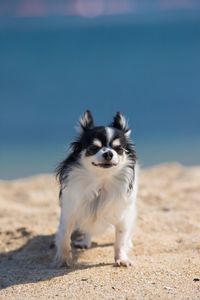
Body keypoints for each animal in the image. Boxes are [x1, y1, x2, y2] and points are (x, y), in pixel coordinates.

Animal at [55, 110, 138, 268]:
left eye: (118, 149)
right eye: (93, 148)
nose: (108, 153)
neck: (101, 182)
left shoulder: (123, 215)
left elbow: (120, 239)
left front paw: (121, 258)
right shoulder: (69, 212)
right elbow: (64, 237)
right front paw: (64, 259)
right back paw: (85, 242)